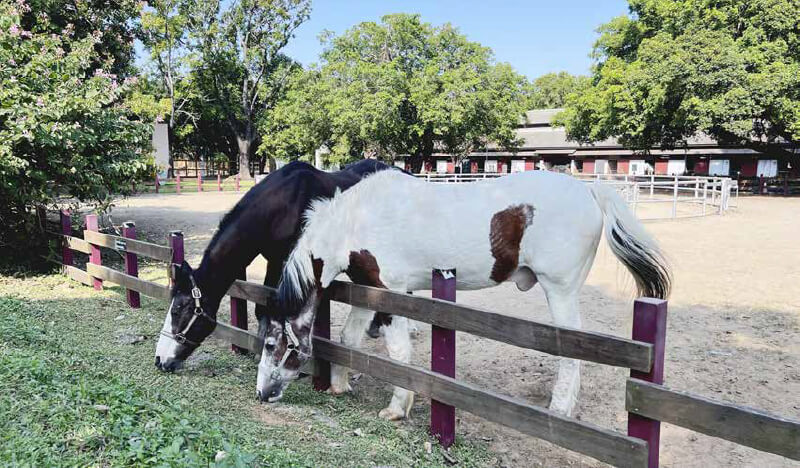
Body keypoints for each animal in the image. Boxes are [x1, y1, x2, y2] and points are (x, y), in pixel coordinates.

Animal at [254, 169, 671, 418]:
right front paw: (340, 384)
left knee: (572, 352)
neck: (354, 222)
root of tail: (588, 189)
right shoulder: (370, 290)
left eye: (272, 344)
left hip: (561, 291)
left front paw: (397, 408)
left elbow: (399, 353)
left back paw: (560, 408)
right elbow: (348, 337)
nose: (262, 393)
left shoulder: (392, 293)